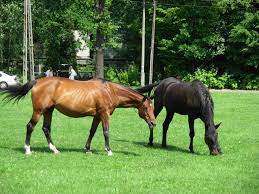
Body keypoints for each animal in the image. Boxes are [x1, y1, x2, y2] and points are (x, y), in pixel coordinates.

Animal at [3, 77, 156, 156]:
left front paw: (87, 149)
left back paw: (54, 149)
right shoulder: (104, 114)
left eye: (152, 106)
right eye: (146, 107)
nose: (153, 123)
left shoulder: (97, 116)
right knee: (30, 126)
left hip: (48, 110)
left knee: (46, 128)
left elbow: (92, 131)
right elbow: (106, 132)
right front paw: (109, 150)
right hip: (39, 111)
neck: (109, 90)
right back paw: (28, 149)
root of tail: (37, 82)